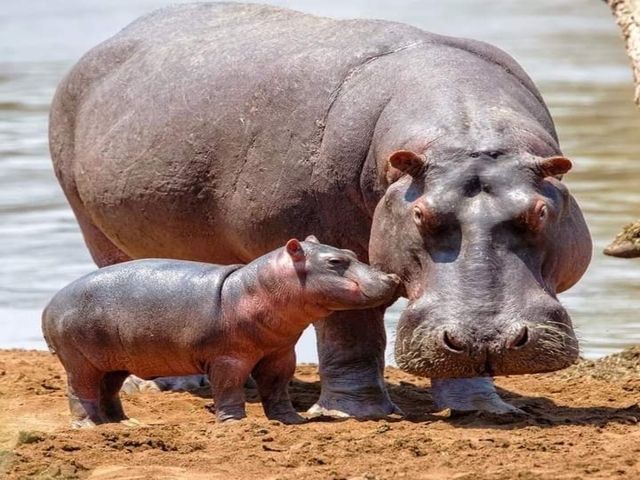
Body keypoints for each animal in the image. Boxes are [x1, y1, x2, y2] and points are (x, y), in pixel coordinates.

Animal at [42, 237, 400, 427]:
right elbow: (229, 389)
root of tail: (48, 306)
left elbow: (277, 388)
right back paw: (88, 426)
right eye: (335, 262)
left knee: (109, 390)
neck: (253, 289)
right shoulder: (228, 358)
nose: (392, 278)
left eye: (351, 254)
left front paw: (291, 420)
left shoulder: (280, 354)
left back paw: (124, 423)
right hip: (80, 361)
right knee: (80, 391)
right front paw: (235, 423)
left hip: (114, 361)